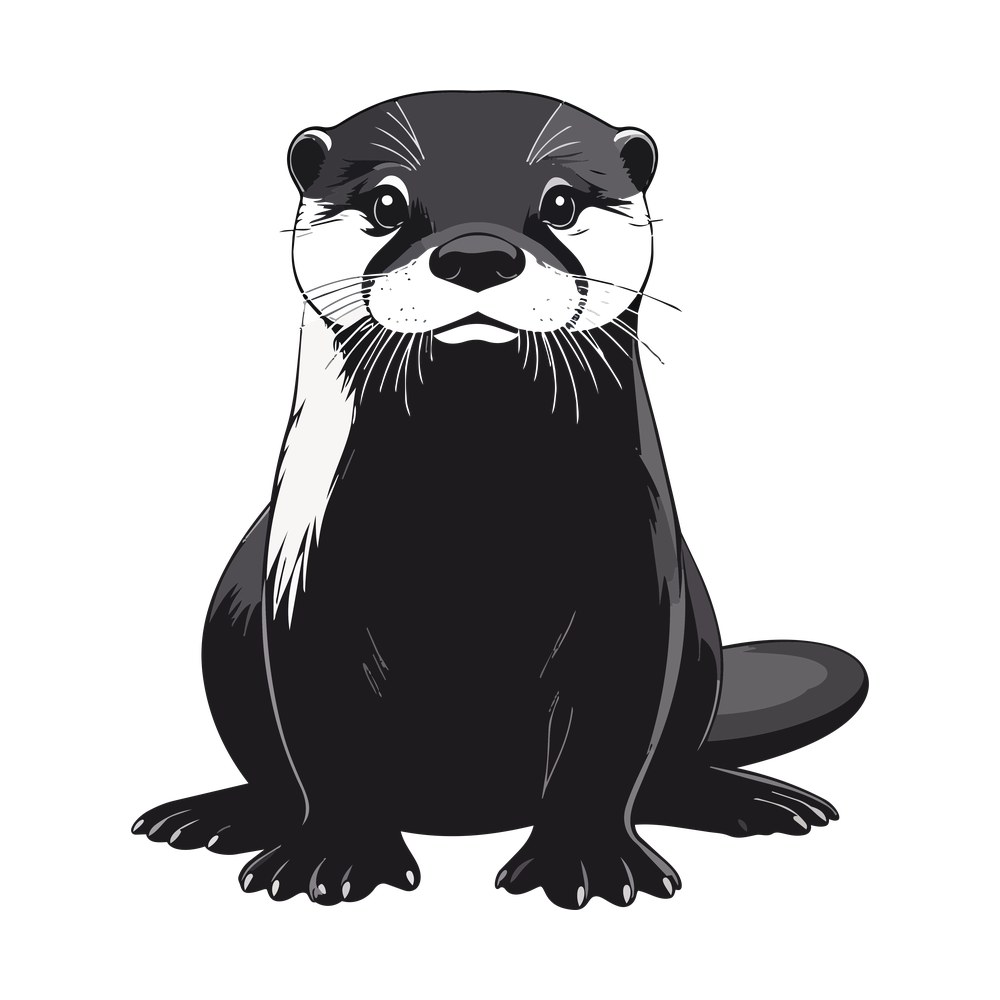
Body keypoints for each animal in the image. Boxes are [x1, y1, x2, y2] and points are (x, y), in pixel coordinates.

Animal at [133, 91, 868, 908]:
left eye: (561, 202)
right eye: (386, 203)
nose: (477, 255)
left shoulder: (636, 571)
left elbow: (612, 723)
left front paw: (585, 859)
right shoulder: (305, 567)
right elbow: (325, 720)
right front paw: (335, 855)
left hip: (699, 636)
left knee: (669, 763)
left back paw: (749, 799)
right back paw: (216, 816)